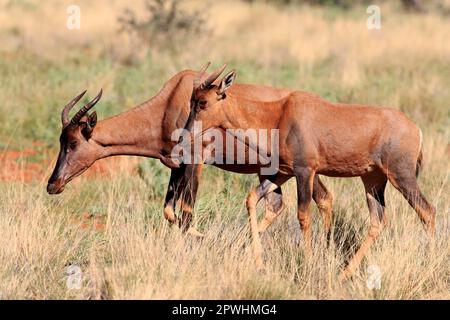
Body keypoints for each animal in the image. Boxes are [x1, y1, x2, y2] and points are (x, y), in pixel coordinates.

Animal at [46, 69, 334, 236]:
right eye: (61, 140)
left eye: (73, 142)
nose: (52, 185)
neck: (171, 101)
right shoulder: (177, 165)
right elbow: (169, 212)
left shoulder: (196, 161)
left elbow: (186, 213)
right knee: (290, 204)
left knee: (321, 199)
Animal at [185, 63, 436, 278]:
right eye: (191, 101)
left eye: (203, 102)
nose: (185, 134)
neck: (280, 114)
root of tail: (415, 129)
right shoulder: (283, 173)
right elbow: (251, 198)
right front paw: (259, 263)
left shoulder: (305, 171)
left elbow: (303, 215)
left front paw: (306, 262)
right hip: (372, 180)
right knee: (378, 221)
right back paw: (344, 274)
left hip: (401, 176)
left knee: (427, 211)